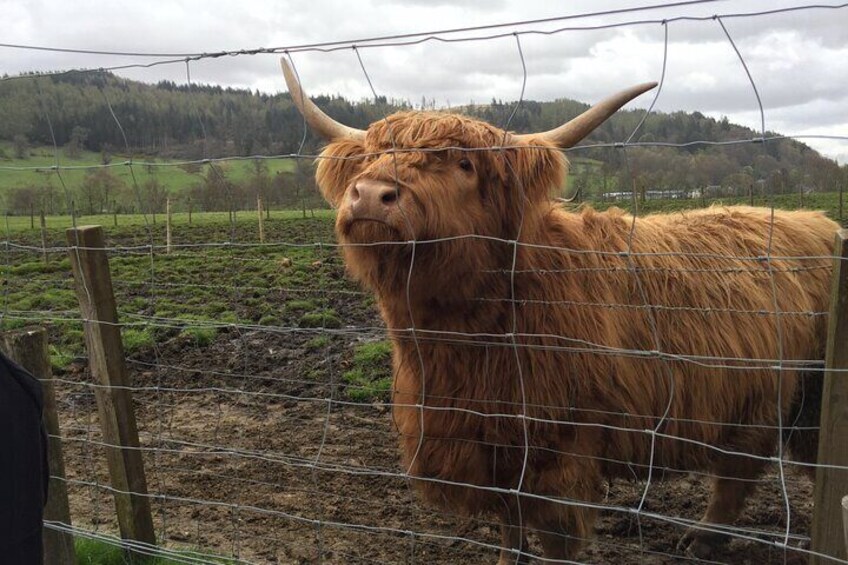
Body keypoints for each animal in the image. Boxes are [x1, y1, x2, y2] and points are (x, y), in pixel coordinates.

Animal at [281, 59, 836, 563]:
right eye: (370, 158)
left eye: (464, 164)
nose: (371, 194)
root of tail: (819, 222)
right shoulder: (492, 442)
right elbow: (510, 523)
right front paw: (508, 560)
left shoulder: (561, 449)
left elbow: (555, 537)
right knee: (743, 465)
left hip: (810, 398)